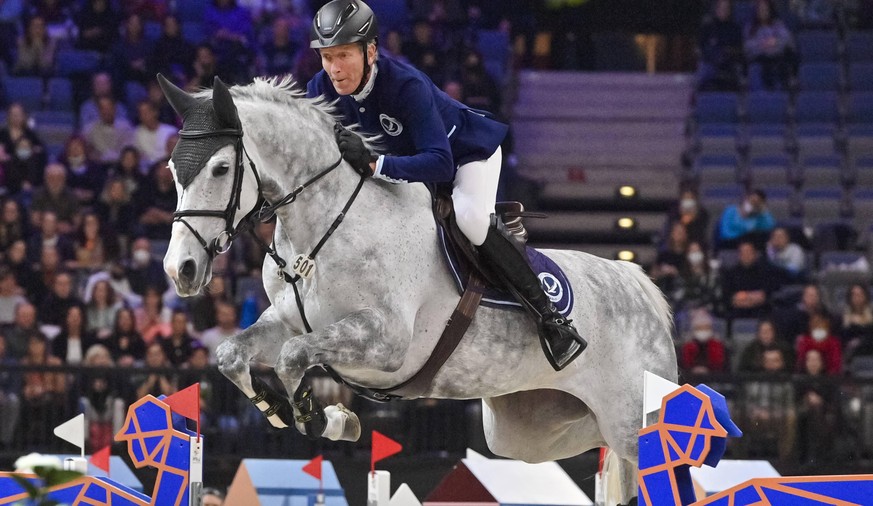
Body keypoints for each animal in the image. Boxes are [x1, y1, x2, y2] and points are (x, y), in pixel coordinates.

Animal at [162, 75, 680, 506]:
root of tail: (638, 286)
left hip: (630, 417)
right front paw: (280, 410)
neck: (327, 222)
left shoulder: (385, 342)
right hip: (531, 431)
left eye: (221, 168)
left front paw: (324, 418)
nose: (180, 270)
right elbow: (233, 355)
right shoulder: (288, 320)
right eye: (171, 169)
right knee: (601, 451)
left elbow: (293, 357)